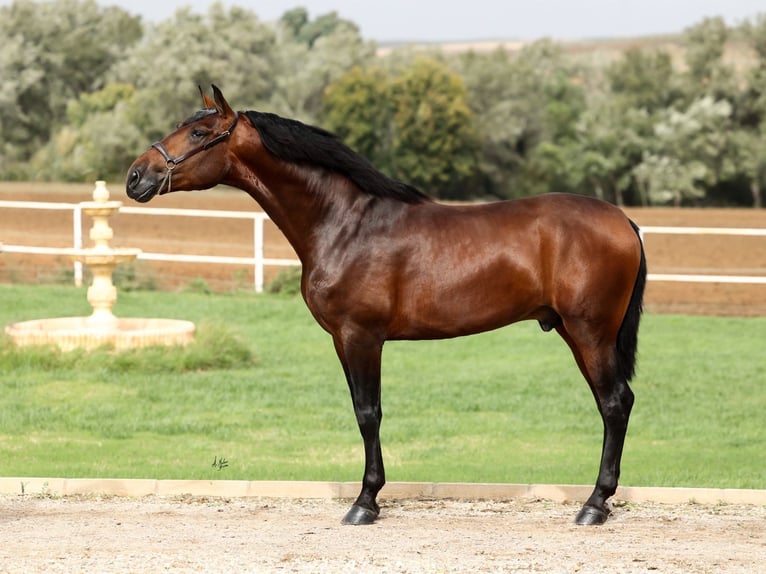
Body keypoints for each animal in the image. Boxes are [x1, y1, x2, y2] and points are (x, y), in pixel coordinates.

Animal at [126, 85, 648, 528]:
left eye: (199, 133)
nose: (136, 176)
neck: (346, 224)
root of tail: (623, 220)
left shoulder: (362, 336)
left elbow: (368, 413)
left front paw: (365, 502)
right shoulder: (343, 340)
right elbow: (362, 410)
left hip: (590, 330)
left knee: (614, 402)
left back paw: (594, 505)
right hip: (572, 330)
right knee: (613, 404)